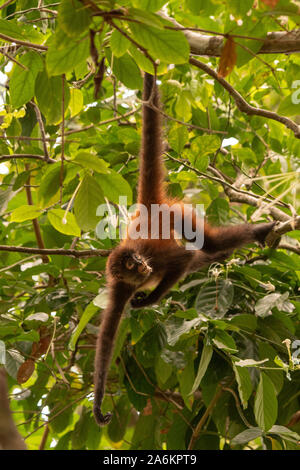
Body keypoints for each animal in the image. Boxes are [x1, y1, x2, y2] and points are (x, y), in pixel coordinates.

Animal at [93, 72, 274, 426]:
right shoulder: (119, 288)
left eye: (137, 260)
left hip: (175, 213)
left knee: (206, 244)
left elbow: (183, 259)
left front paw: (149, 300)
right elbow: (106, 340)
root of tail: (146, 209)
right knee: (207, 252)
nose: (143, 267)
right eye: (131, 266)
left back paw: (259, 231)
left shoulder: (155, 259)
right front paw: (97, 402)